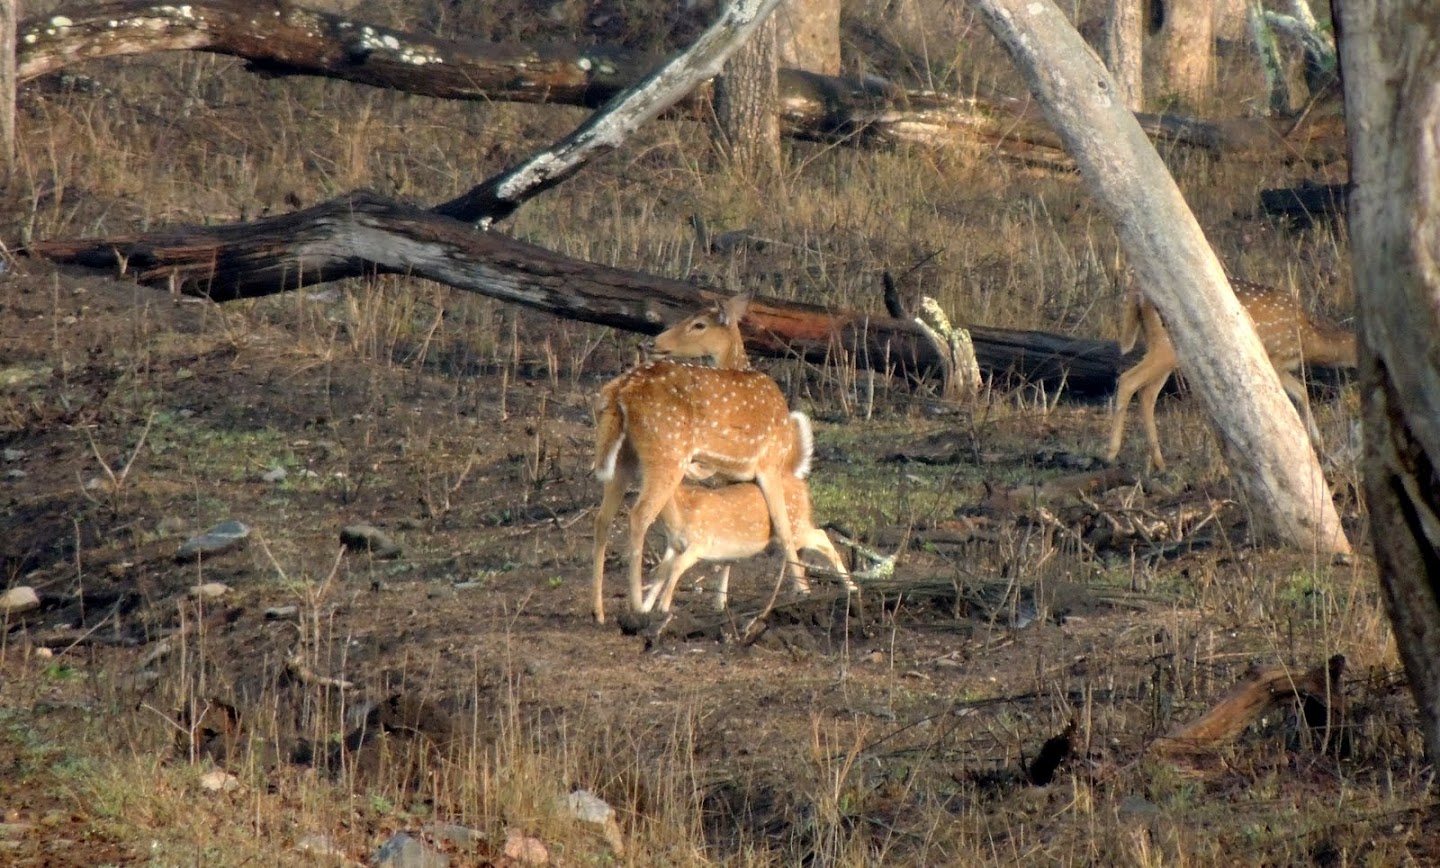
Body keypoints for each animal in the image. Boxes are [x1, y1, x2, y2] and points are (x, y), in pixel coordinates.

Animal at [591, 293, 809, 624]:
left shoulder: (734, 472)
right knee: (639, 514)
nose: (653, 342)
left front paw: (720, 600)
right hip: (667, 450)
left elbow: (735, 510)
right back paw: (638, 605)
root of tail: (620, 391)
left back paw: (598, 610)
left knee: (603, 517)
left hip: (625, 455)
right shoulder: (769, 462)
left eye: (698, 324)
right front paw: (802, 589)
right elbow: (782, 526)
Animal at [640, 410, 855, 615]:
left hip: (796, 525)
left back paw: (849, 588)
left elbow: (676, 567)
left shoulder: (701, 541)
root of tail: (797, 478)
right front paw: (644, 608)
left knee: (822, 536)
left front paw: (663, 608)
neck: (681, 514)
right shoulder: (673, 544)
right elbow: (661, 571)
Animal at [1106, 279, 1357, 472]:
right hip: (1165, 346)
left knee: (1147, 393)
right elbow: (1290, 396)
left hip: (1163, 348)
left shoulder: (1282, 365)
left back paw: (1159, 463)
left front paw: (1318, 442)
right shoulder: (1274, 358)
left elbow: (1302, 392)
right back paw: (1111, 453)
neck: (1308, 338)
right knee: (1128, 380)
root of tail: (1138, 294)